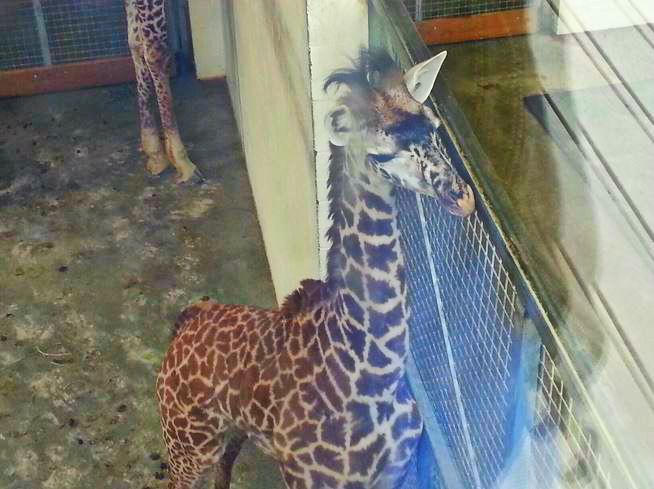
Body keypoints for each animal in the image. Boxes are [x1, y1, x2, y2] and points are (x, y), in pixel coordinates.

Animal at [156, 49, 475, 489]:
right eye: (381, 151)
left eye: (433, 126)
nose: (463, 199)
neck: (370, 380)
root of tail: (187, 319)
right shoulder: (308, 478)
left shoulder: (394, 473)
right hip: (187, 441)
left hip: (229, 435)